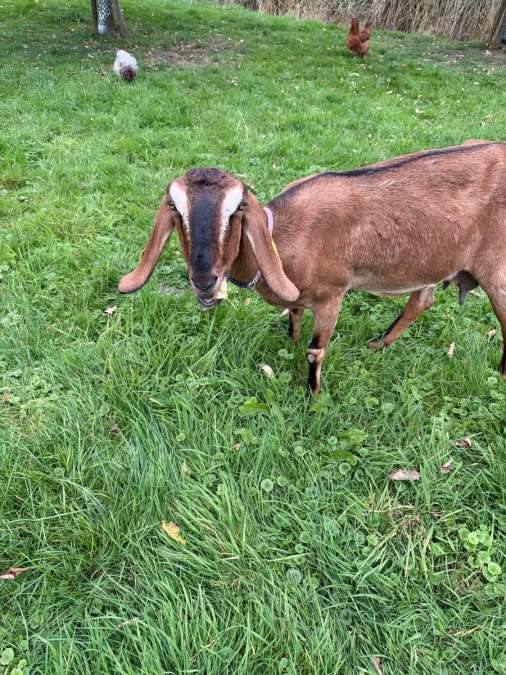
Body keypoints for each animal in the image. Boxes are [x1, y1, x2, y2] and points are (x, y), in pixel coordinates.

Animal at [118, 142, 506, 394]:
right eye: (174, 206)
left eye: (238, 208)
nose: (204, 279)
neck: (284, 237)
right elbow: (293, 315)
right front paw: (289, 341)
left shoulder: (332, 295)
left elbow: (315, 350)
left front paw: (313, 395)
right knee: (422, 300)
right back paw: (378, 344)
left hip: (495, 267)